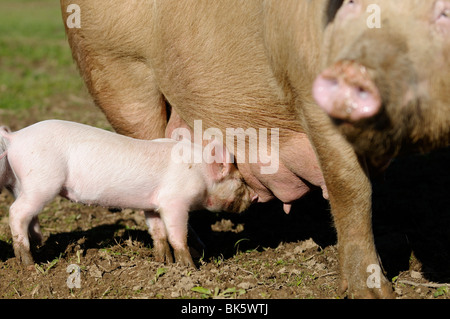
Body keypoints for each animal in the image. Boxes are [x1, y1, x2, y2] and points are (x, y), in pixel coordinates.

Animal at [0, 121, 253, 268]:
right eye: (240, 181)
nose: (254, 197)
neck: (199, 171)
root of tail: (16, 137)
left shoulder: (153, 204)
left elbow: (158, 233)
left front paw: (163, 262)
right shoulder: (174, 201)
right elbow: (177, 234)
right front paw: (189, 268)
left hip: (23, 184)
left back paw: (39, 246)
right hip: (42, 181)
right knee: (16, 212)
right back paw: (29, 264)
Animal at [61, 1, 448, 298]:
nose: (356, 71)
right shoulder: (309, 89)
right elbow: (351, 188)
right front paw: (374, 293)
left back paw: (200, 251)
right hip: (117, 71)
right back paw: (181, 259)